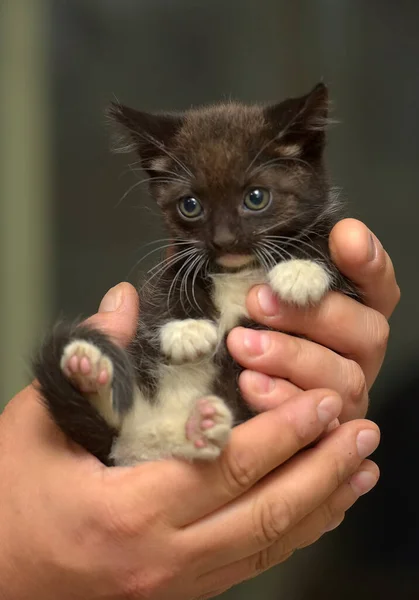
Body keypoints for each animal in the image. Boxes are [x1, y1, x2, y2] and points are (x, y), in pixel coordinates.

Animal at [34, 83, 360, 468]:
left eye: (256, 198)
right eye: (190, 205)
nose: (224, 240)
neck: (239, 269)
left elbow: (327, 243)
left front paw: (300, 270)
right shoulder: (178, 256)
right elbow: (170, 282)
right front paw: (185, 328)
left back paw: (198, 428)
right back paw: (88, 372)